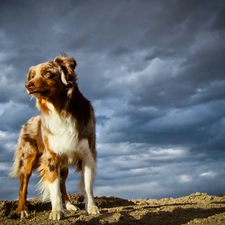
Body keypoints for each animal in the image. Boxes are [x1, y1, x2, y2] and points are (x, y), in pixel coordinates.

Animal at [9, 54, 99, 220]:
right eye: (32, 75)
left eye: (47, 73)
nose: (27, 85)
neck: (60, 109)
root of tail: (27, 122)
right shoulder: (51, 157)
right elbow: (54, 189)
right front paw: (56, 211)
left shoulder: (87, 155)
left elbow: (87, 185)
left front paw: (91, 207)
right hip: (27, 159)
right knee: (23, 185)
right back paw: (22, 209)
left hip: (64, 164)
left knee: (62, 183)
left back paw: (69, 205)